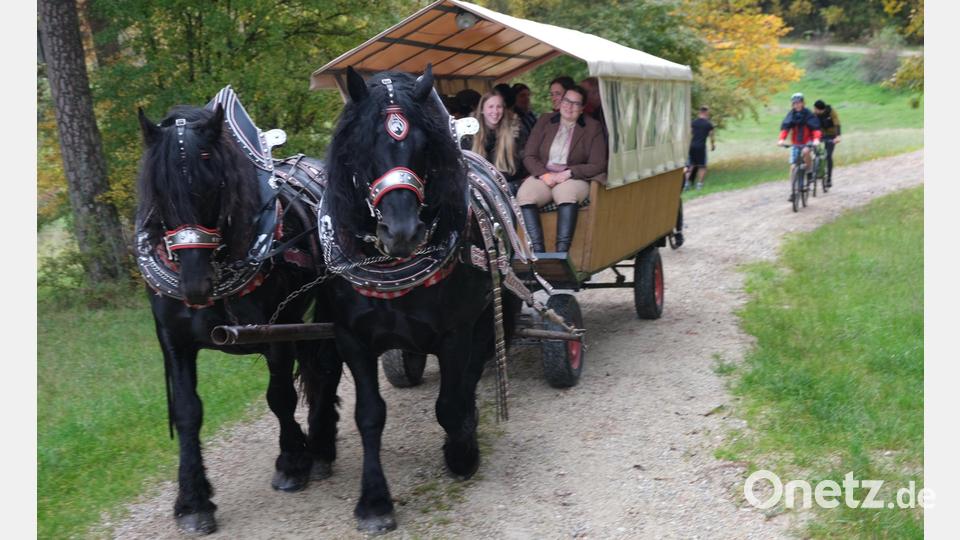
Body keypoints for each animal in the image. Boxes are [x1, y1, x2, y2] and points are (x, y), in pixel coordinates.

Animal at [134, 100, 341, 535]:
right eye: (158, 192)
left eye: (214, 185)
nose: (195, 285)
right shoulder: (174, 341)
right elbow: (187, 413)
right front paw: (194, 501)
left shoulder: (276, 328)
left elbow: (279, 396)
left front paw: (292, 462)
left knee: (327, 365)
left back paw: (320, 446)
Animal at [305, 65, 522, 533]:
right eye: (363, 146)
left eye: (424, 146)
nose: (402, 231)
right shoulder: (351, 339)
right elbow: (369, 415)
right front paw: (374, 502)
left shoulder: (456, 332)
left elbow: (451, 403)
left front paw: (462, 453)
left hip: (493, 313)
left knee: (475, 369)